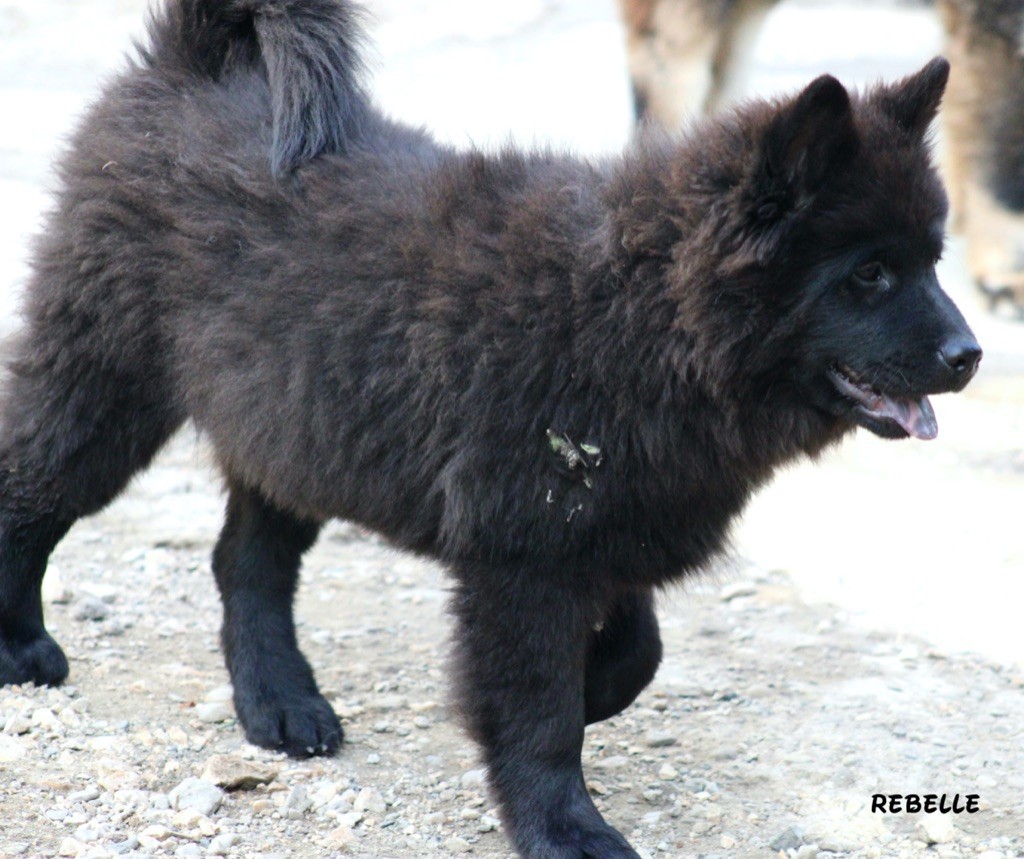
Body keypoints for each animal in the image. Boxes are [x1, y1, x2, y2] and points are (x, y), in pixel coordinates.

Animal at [0, 1, 978, 859]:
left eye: (935, 260)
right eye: (869, 275)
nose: (970, 354)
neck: (638, 314)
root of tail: (193, 66)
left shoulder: (615, 517)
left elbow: (638, 651)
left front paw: (593, 694)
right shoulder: (526, 554)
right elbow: (540, 712)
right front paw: (563, 827)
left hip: (298, 420)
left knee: (247, 561)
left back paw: (280, 703)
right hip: (109, 383)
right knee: (34, 487)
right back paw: (21, 644)